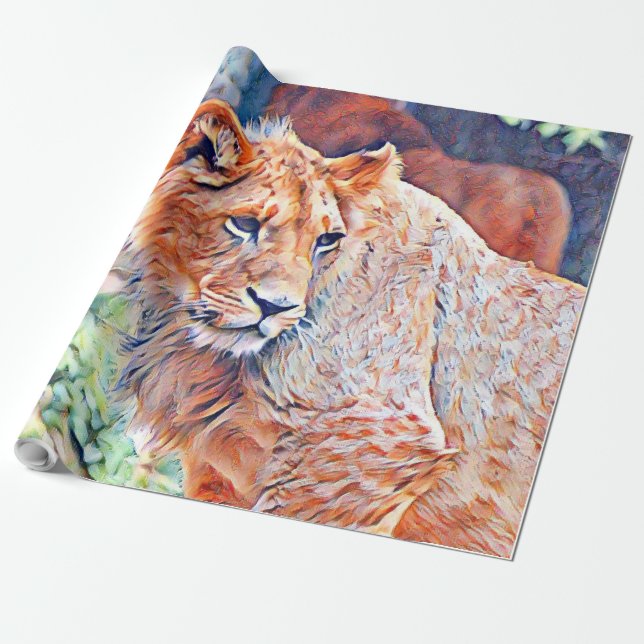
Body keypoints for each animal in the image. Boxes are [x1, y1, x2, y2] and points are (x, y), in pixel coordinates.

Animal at [114, 99, 585, 557]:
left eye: (325, 241)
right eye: (245, 225)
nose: (274, 307)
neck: (201, 349)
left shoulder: (378, 440)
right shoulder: (216, 471)